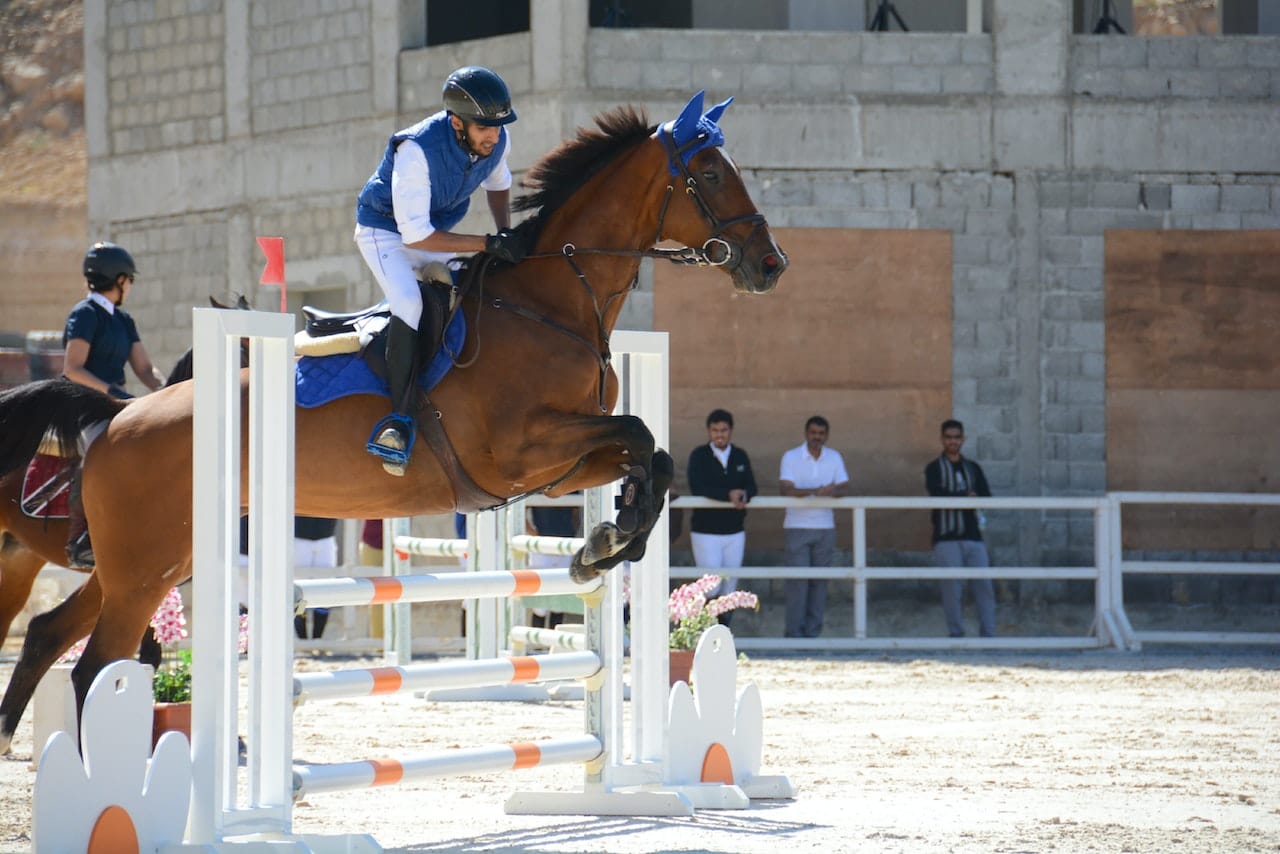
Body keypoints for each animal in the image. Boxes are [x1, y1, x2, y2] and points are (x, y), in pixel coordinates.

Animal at [0, 90, 788, 752]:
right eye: (710, 175)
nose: (772, 265)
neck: (549, 304)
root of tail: (120, 417)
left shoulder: (560, 463)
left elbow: (649, 455)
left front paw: (604, 543)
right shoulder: (520, 451)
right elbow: (639, 436)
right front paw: (607, 542)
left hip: (159, 558)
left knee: (49, 633)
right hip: (144, 564)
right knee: (94, 665)